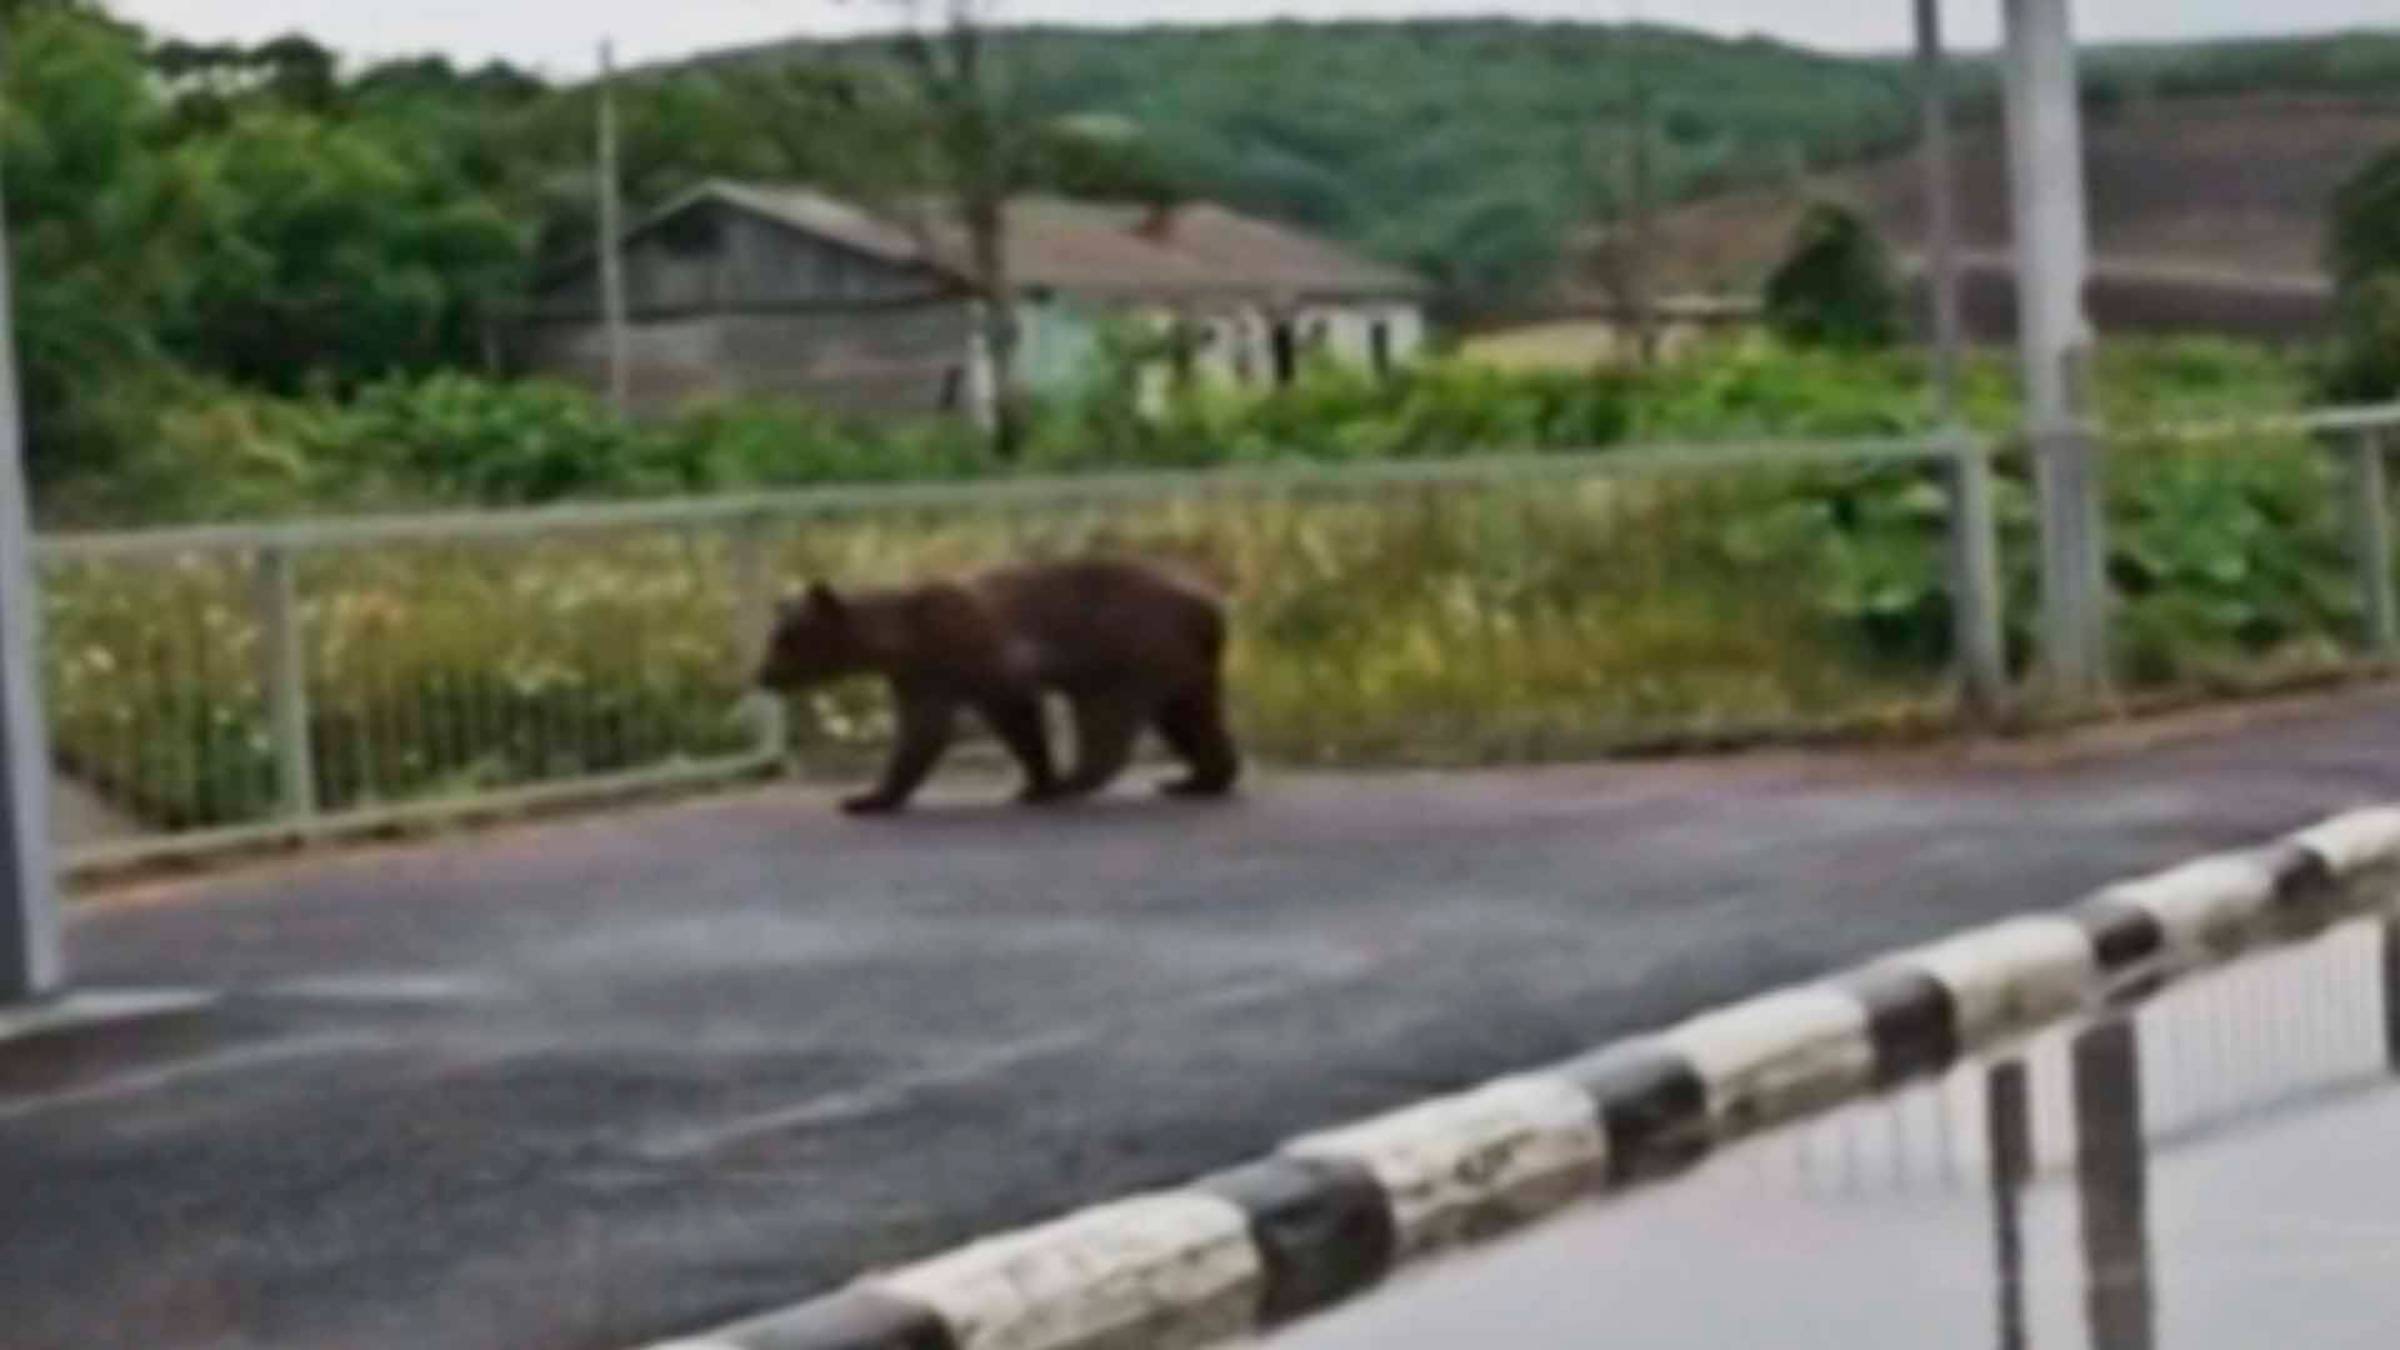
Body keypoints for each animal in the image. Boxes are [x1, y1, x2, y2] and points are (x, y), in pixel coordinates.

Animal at [748, 554, 1238, 807]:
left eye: (784, 640)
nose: (760, 676)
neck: (902, 636)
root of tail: (1208, 605)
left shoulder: (961, 648)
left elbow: (938, 729)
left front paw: (864, 798)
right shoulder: (923, 676)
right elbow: (974, 722)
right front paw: (1034, 780)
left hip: (1126, 649)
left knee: (1109, 717)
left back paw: (1076, 780)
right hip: (1180, 664)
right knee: (1191, 716)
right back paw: (1199, 778)